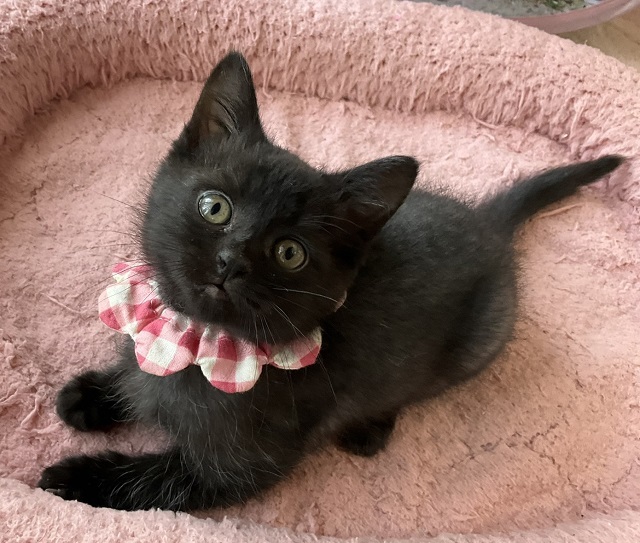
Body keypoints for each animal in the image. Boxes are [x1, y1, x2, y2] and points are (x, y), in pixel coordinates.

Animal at [38, 51, 623, 511]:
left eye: (290, 253)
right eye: (214, 206)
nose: (230, 261)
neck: (202, 340)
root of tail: (488, 222)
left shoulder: (244, 462)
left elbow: (159, 481)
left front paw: (72, 478)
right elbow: (134, 371)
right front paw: (93, 394)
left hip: (476, 344)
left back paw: (371, 429)